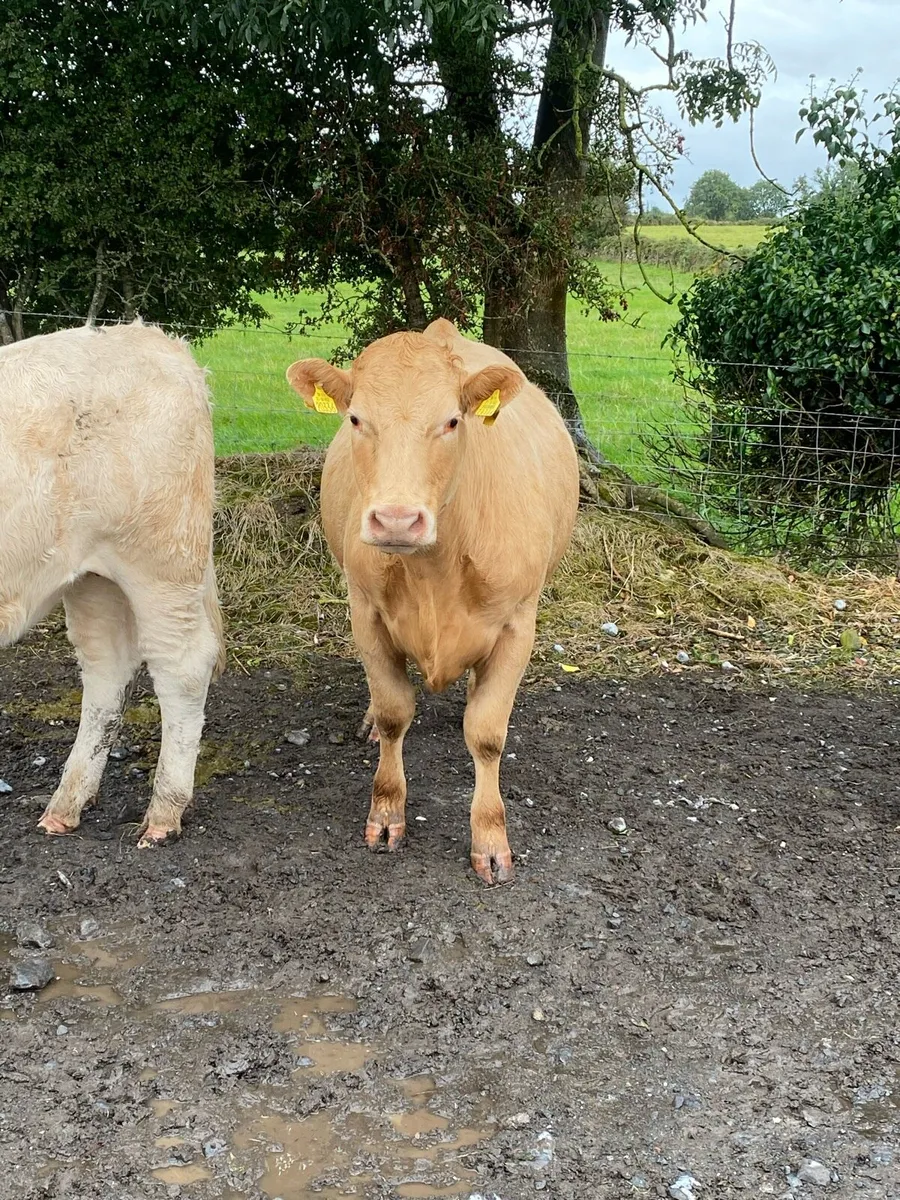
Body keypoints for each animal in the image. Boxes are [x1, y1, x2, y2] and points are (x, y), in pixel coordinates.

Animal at [0, 321, 224, 846]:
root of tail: (157, 341)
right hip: (91, 575)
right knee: (106, 669)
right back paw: (65, 804)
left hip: (161, 560)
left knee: (182, 665)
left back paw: (163, 813)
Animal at [287, 318, 579, 884]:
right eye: (355, 418)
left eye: (451, 421)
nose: (397, 520)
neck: (434, 570)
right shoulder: (365, 611)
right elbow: (394, 711)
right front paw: (386, 814)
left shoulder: (518, 622)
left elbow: (486, 733)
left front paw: (490, 839)